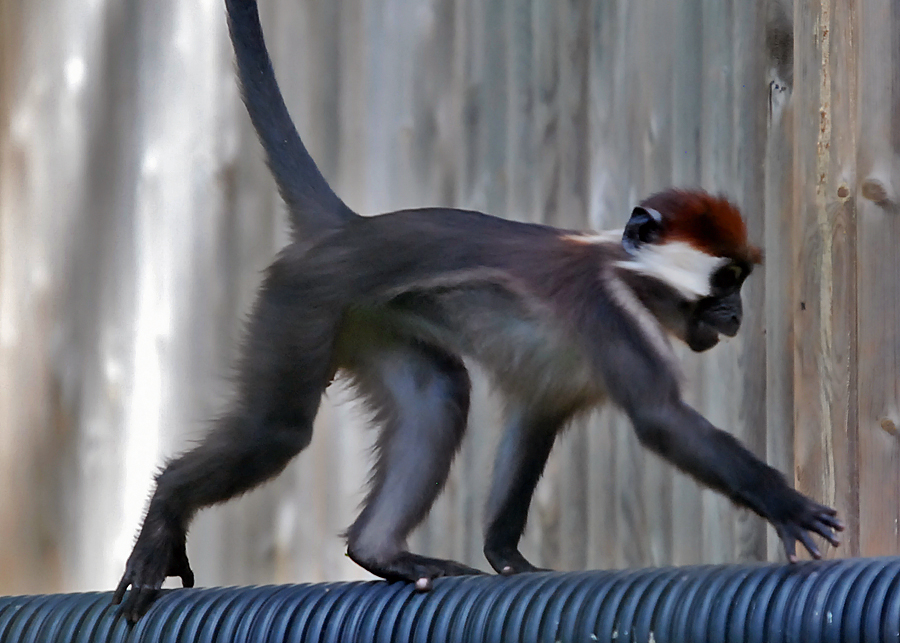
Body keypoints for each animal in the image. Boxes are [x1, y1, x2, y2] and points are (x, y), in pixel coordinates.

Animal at [112, 0, 844, 623]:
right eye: (726, 280)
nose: (736, 315)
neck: (628, 275)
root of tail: (347, 229)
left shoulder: (557, 378)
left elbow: (534, 416)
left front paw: (507, 556)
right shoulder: (605, 311)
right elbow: (662, 419)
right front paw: (786, 503)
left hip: (369, 322)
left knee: (438, 392)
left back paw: (382, 551)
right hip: (303, 300)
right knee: (277, 430)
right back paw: (170, 500)